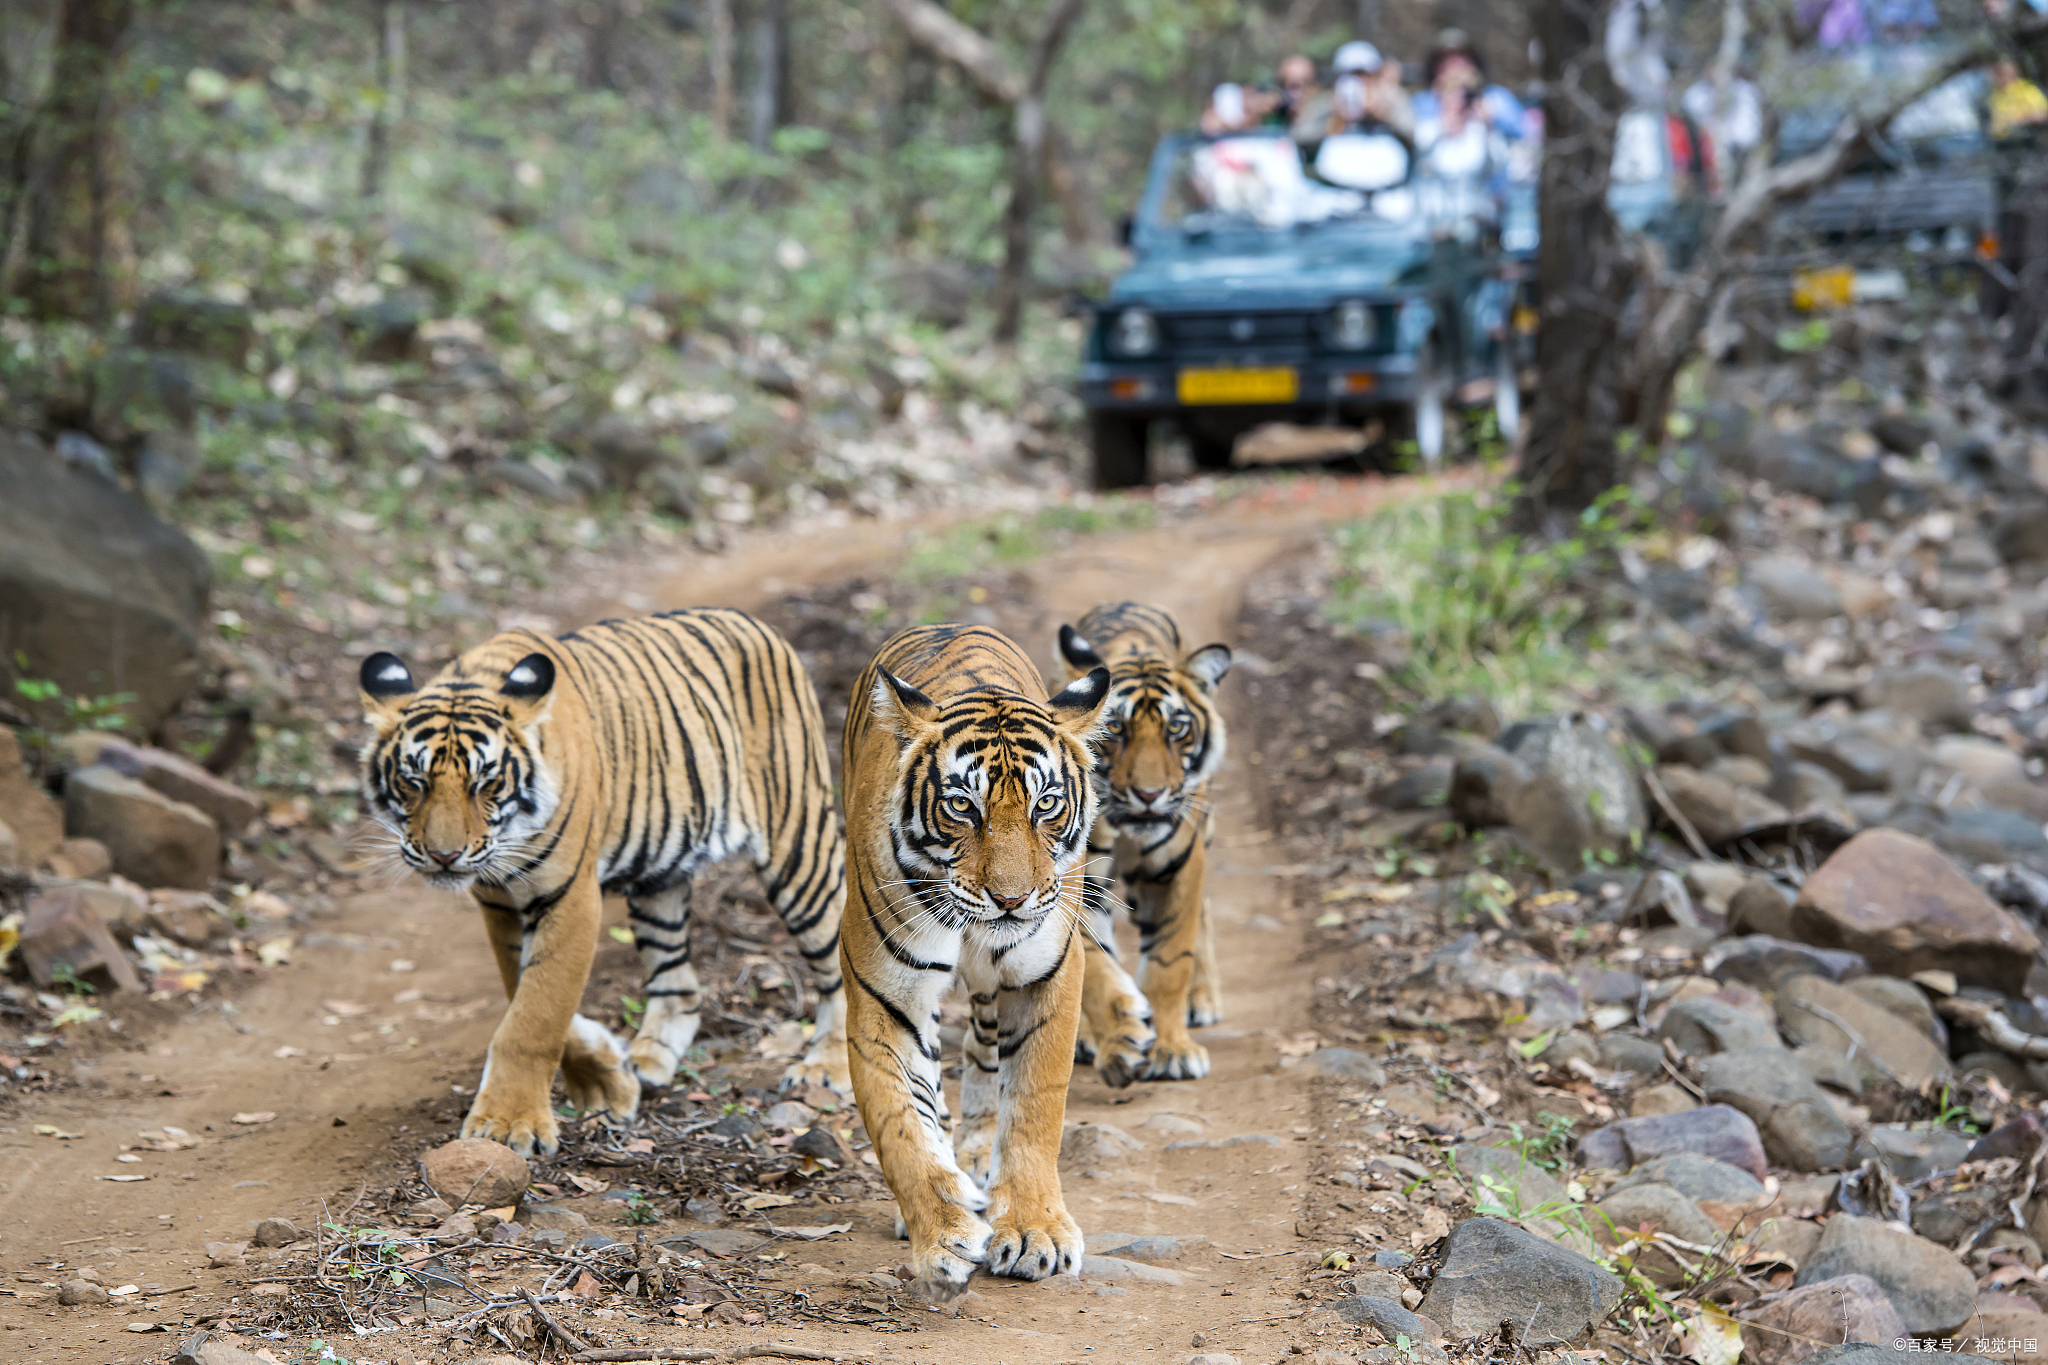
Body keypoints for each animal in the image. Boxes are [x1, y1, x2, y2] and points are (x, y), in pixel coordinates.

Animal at [360, 609, 847, 1154]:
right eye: (413, 781)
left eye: (486, 782)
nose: (444, 857)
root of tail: (755, 624)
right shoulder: (501, 904)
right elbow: (523, 993)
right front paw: (606, 1079)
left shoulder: (570, 897)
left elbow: (536, 1015)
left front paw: (509, 1124)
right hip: (659, 879)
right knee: (679, 984)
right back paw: (649, 1062)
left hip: (800, 846)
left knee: (840, 962)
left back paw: (827, 1067)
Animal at [839, 626, 1114, 1301]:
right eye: (963, 806)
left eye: (1047, 804)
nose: (1012, 899)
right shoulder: (885, 999)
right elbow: (901, 1125)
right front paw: (943, 1235)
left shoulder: (1046, 978)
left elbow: (1035, 1106)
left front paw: (1037, 1232)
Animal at [1056, 601, 1228, 1080]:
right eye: (1116, 729)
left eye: (1177, 729)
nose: (1149, 795)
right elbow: (1094, 964)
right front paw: (1122, 1039)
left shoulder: (1179, 868)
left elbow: (1170, 961)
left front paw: (1174, 1050)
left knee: (1205, 913)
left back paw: (1203, 998)